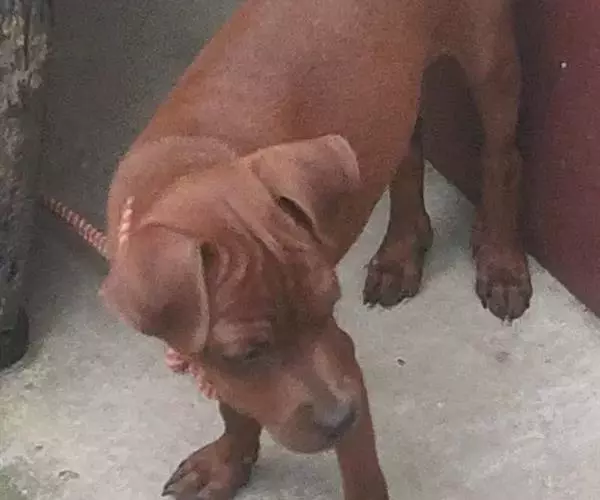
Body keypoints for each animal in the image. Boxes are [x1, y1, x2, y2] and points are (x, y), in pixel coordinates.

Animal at [101, 0, 532, 498]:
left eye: (328, 308)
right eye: (248, 354)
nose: (342, 418)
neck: (189, 165)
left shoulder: (342, 360)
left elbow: (361, 472)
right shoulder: (220, 361)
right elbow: (235, 404)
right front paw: (229, 463)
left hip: (489, 58)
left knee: (503, 158)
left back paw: (501, 263)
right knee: (407, 151)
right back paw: (401, 252)